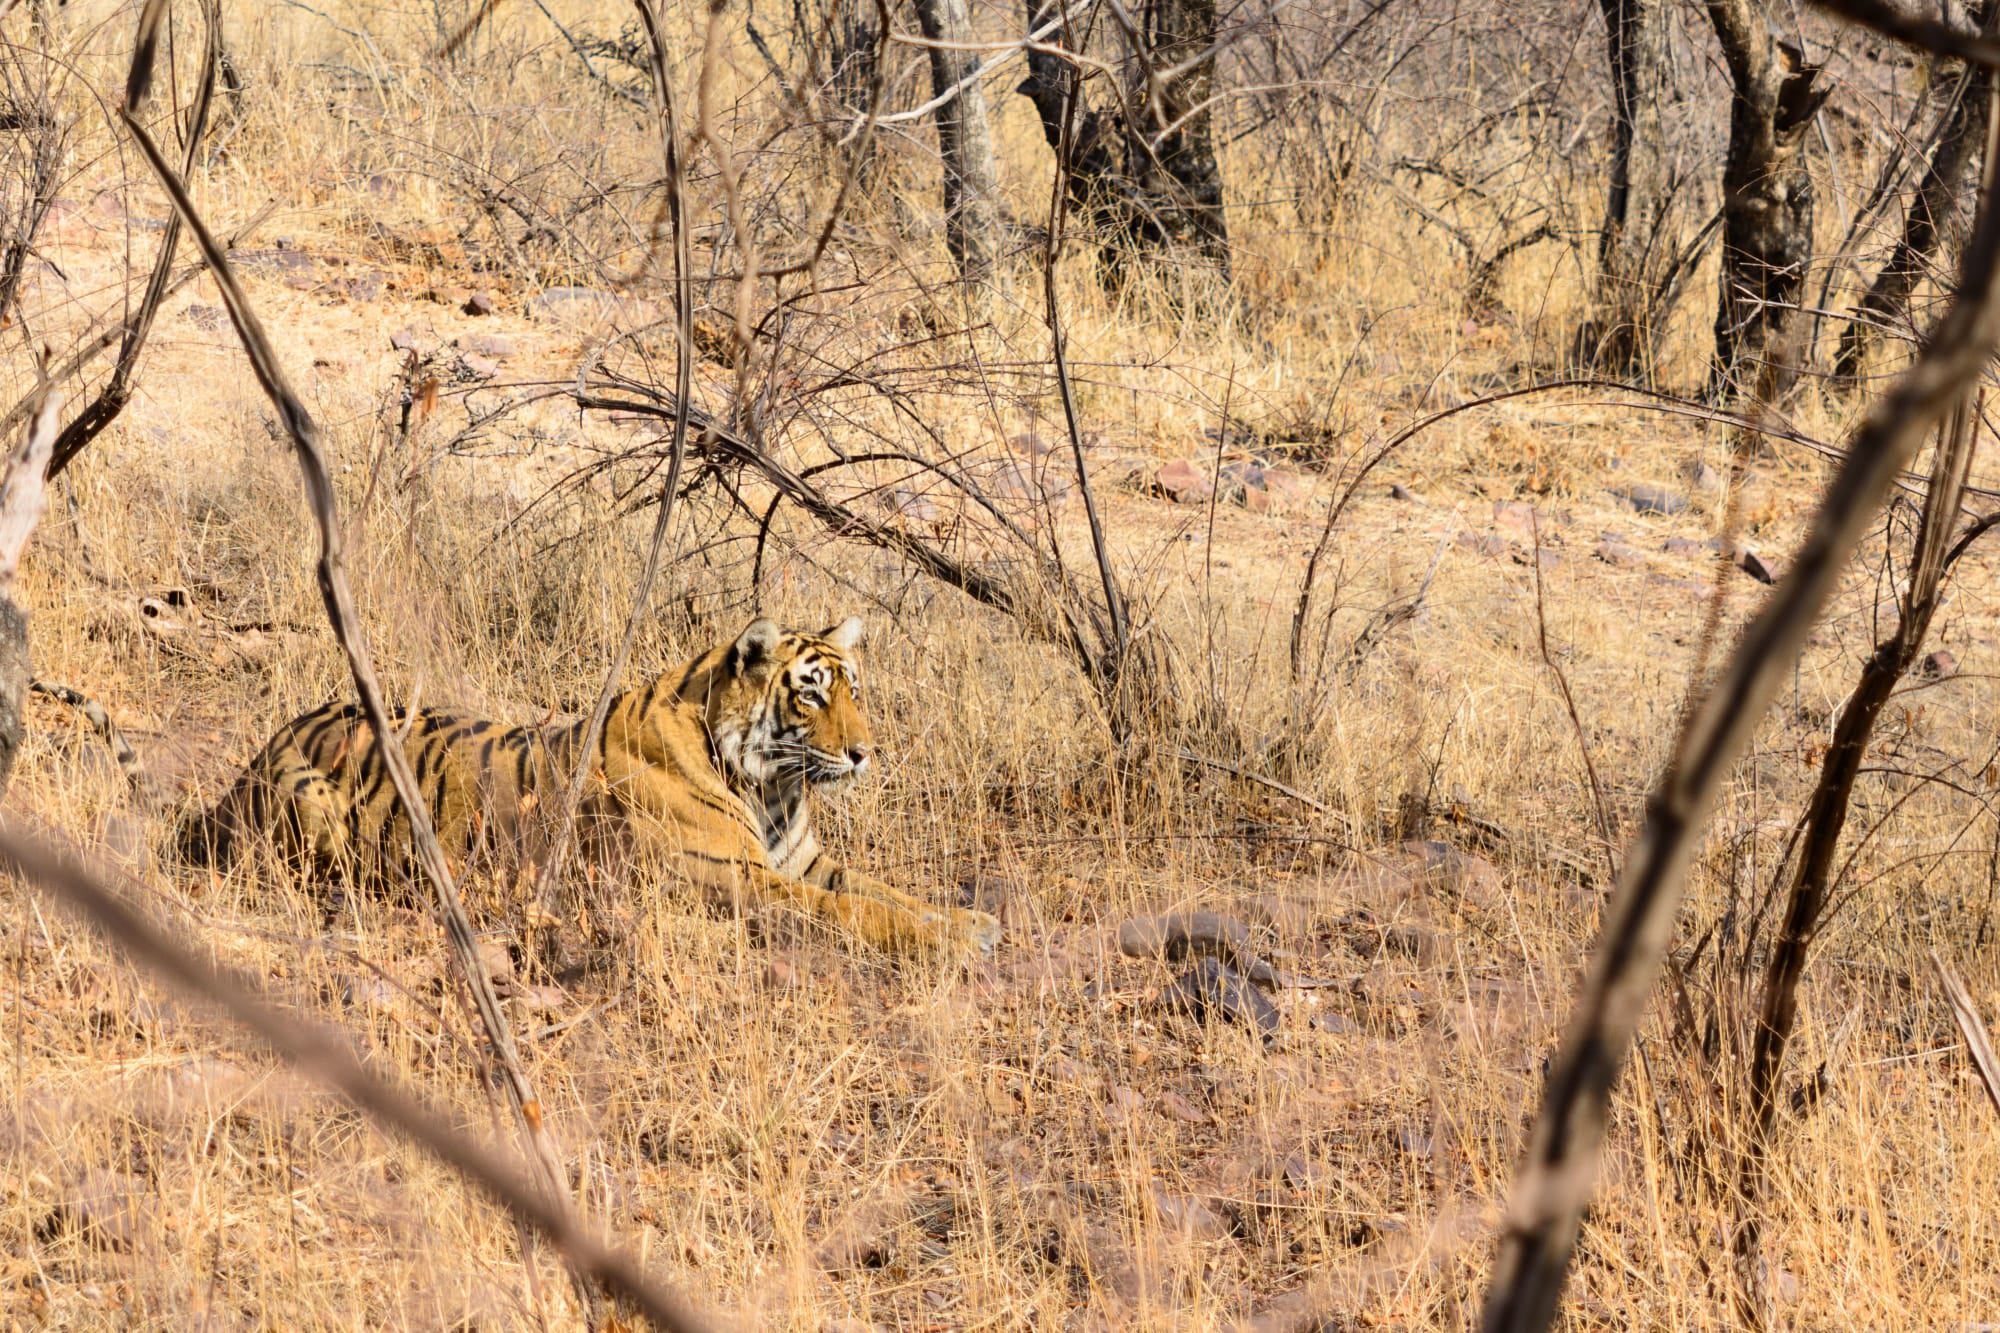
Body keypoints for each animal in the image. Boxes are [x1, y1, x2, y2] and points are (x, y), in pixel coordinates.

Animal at [174, 615, 1003, 958]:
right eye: (811, 694)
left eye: (853, 688)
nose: (866, 753)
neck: (773, 785)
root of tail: (263, 747)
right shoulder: (743, 878)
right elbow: (857, 910)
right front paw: (952, 939)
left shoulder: (801, 861)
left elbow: (883, 890)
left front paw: (965, 918)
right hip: (317, 809)